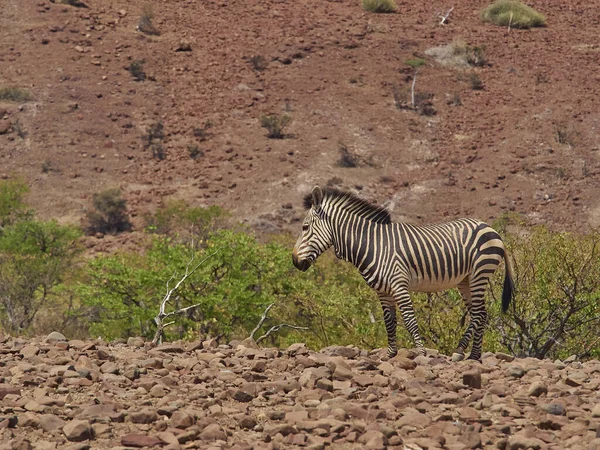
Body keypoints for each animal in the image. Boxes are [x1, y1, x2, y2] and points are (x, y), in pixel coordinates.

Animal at [292, 186, 512, 362]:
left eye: (305, 227)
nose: (294, 261)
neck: (372, 244)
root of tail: (490, 228)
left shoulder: (399, 284)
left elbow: (408, 319)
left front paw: (421, 352)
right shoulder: (383, 291)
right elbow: (390, 321)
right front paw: (390, 354)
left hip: (479, 273)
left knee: (478, 314)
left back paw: (459, 351)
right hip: (465, 280)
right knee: (481, 313)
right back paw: (474, 356)